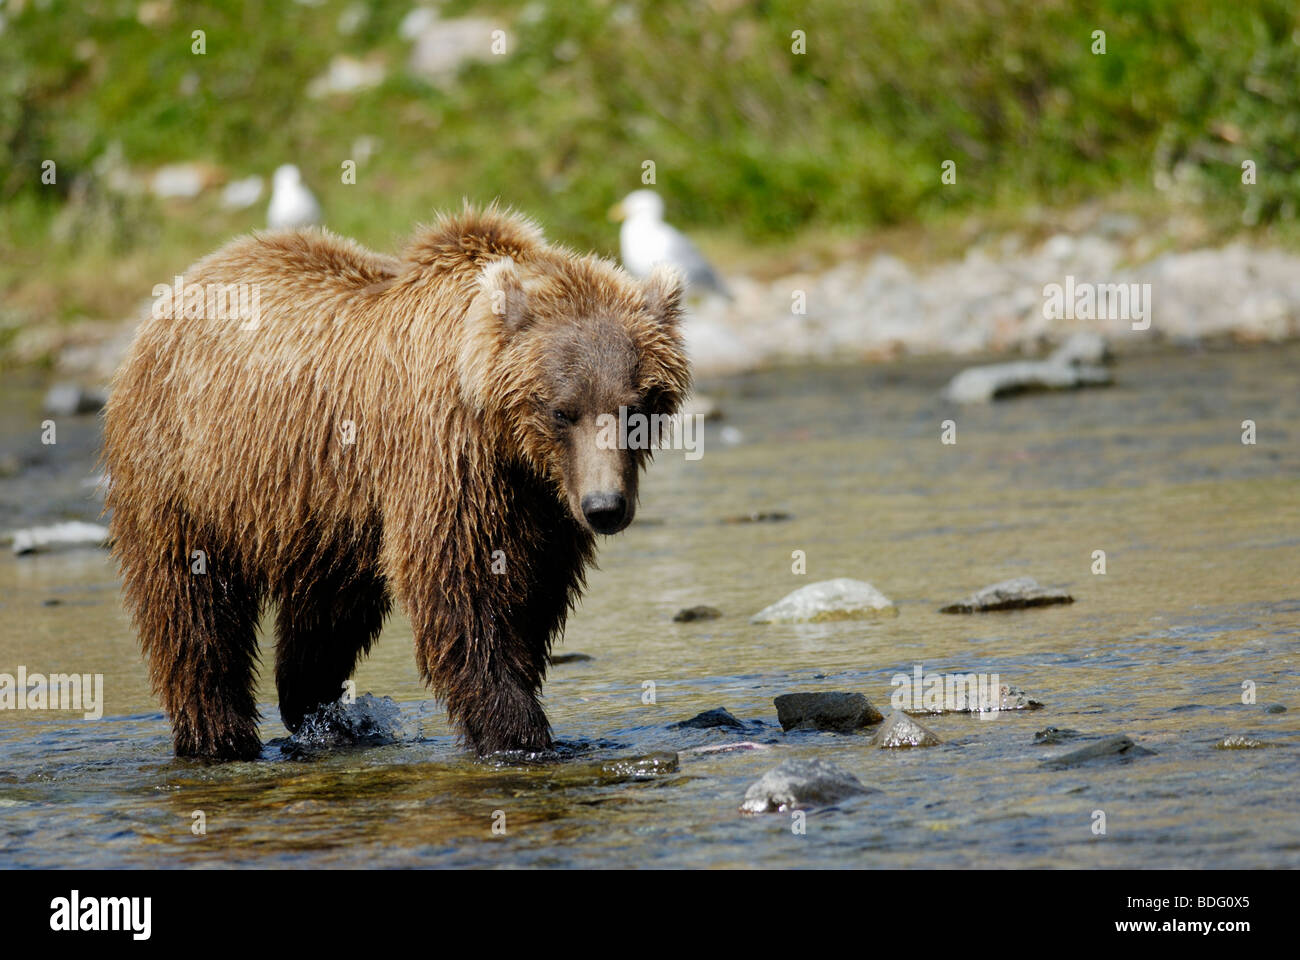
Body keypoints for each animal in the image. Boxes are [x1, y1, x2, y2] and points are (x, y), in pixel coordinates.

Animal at [101, 205, 691, 759]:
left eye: (637, 409)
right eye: (562, 410)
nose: (604, 507)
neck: (505, 437)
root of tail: (185, 283)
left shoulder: (541, 503)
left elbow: (533, 595)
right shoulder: (447, 458)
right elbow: (461, 591)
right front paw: (518, 731)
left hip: (324, 509)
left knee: (327, 610)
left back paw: (320, 715)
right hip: (187, 471)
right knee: (191, 607)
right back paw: (220, 736)